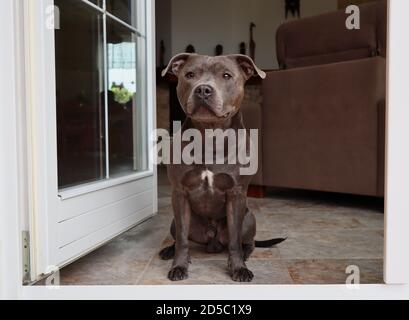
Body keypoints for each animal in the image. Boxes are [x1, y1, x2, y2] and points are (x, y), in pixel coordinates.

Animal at [158, 55, 286, 282]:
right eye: (190, 74)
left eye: (226, 75)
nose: (203, 90)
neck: (210, 136)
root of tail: (212, 241)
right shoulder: (179, 193)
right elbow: (182, 240)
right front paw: (179, 265)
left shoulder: (236, 194)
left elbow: (234, 241)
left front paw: (239, 268)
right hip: (175, 221)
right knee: (180, 237)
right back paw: (169, 251)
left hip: (249, 218)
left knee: (247, 242)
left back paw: (245, 254)